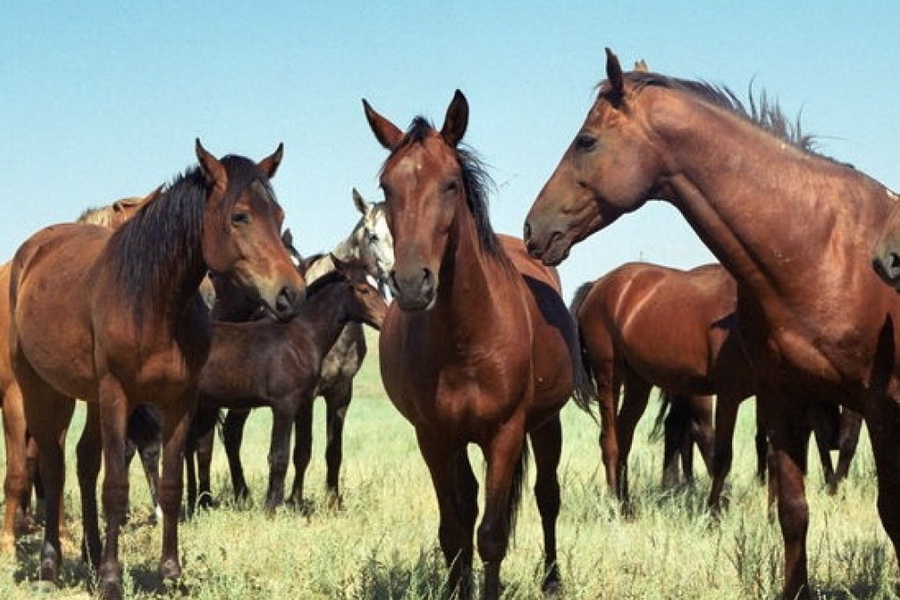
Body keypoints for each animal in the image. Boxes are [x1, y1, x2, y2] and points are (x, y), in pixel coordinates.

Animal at [8, 141, 306, 600]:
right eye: (240, 216)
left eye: (279, 215)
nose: (291, 294)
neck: (151, 302)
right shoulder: (118, 395)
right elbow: (116, 487)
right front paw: (112, 580)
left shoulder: (180, 401)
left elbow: (170, 485)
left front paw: (171, 574)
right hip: (43, 390)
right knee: (54, 467)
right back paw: (50, 565)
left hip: (89, 398)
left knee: (83, 462)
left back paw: (91, 552)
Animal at [362, 90, 596, 600]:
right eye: (387, 188)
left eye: (451, 184)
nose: (412, 285)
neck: (465, 339)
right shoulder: (432, 436)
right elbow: (453, 528)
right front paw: (456, 588)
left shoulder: (505, 433)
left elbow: (492, 534)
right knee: (467, 506)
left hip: (544, 425)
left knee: (546, 497)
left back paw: (552, 579)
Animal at [524, 49, 900, 596]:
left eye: (586, 140)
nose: (533, 229)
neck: (824, 251)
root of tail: (603, 286)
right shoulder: (778, 397)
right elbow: (790, 506)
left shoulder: (872, 405)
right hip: (620, 378)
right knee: (615, 439)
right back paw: (622, 508)